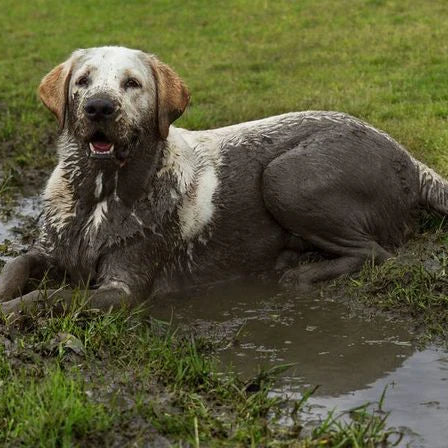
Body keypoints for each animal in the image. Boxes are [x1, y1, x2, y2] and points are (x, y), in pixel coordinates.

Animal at [0, 44, 448, 312]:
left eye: (132, 83)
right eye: (82, 81)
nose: (98, 107)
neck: (98, 195)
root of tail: (410, 160)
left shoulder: (123, 289)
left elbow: (48, 297)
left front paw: (12, 311)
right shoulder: (48, 249)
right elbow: (16, 266)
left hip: (286, 177)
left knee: (375, 252)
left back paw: (297, 273)